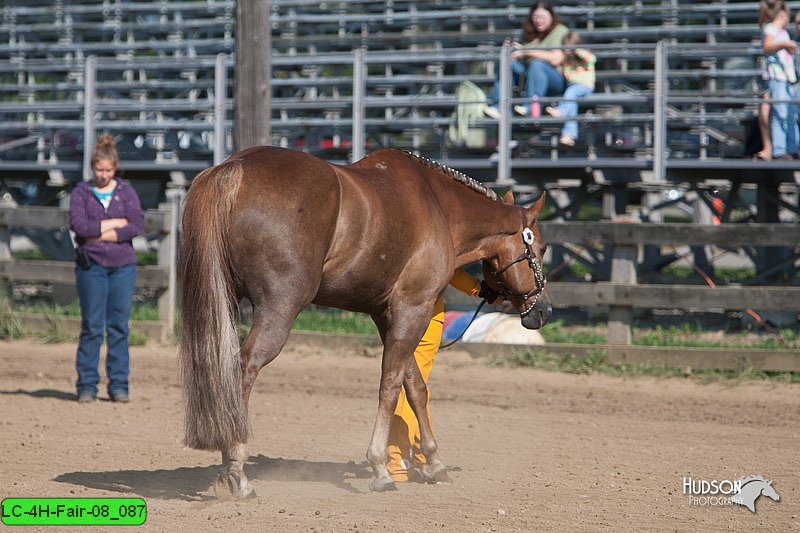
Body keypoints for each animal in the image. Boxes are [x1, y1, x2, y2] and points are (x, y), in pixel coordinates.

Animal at [178, 144, 552, 494]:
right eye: (542, 248)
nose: (544, 310)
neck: (439, 206)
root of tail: (235, 168)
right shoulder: (412, 309)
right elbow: (391, 385)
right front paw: (380, 468)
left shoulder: (387, 315)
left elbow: (415, 387)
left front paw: (433, 461)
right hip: (279, 309)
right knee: (244, 369)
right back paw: (237, 470)